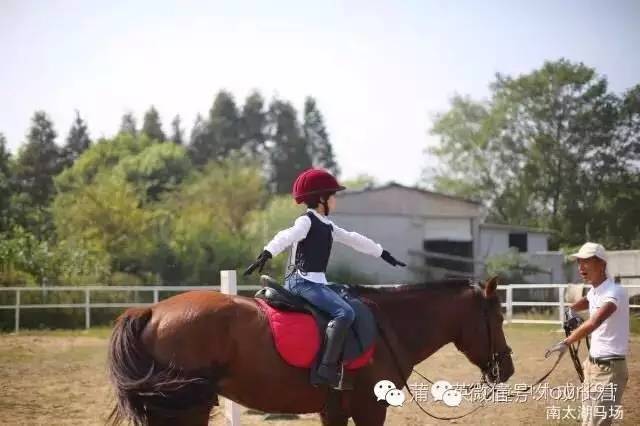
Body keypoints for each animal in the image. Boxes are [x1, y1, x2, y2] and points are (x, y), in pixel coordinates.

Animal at [107, 278, 512, 424]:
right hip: (186, 409)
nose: (506, 368)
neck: (388, 325)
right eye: (497, 316)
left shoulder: (334, 410)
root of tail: (151, 311)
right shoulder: (370, 408)